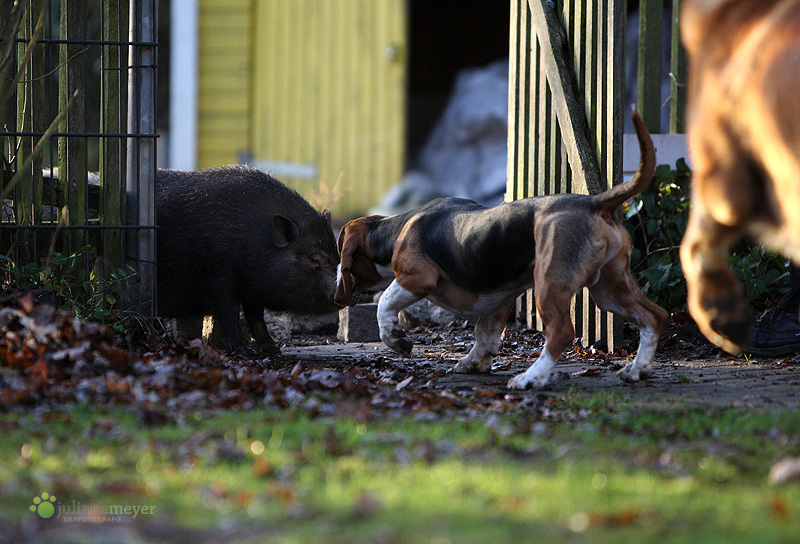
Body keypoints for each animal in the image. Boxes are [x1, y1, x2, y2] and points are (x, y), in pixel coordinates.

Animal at [155, 164, 338, 354]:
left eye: (337, 256)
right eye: (314, 259)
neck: (254, 241)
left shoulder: (252, 287)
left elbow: (256, 316)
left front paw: (272, 348)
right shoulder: (218, 277)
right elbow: (230, 313)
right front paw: (244, 351)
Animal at [332, 112, 668, 388]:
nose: (335, 277)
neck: (392, 230)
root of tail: (594, 203)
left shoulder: (416, 278)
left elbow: (385, 305)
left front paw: (396, 340)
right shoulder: (498, 301)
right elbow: (486, 337)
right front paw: (474, 362)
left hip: (550, 284)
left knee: (561, 332)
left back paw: (532, 378)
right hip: (609, 288)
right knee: (655, 315)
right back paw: (637, 370)